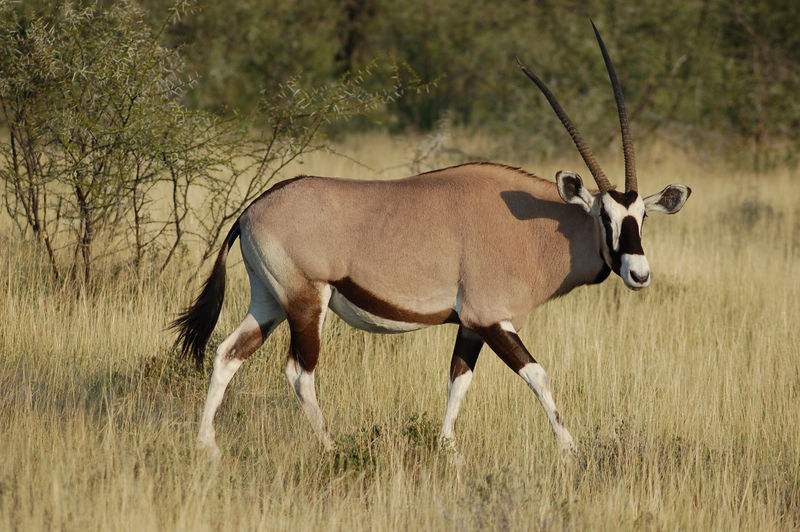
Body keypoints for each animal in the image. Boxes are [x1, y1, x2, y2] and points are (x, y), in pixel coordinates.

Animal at [173, 22, 688, 460]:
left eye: (641, 216)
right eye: (604, 215)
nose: (639, 273)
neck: (534, 228)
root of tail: (251, 209)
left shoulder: (471, 325)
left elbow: (458, 381)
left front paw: (448, 450)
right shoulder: (492, 318)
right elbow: (538, 375)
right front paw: (569, 449)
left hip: (269, 300)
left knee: (227, 354)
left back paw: (207, 446)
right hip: (305, 302)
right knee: (300, 374)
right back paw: (331, 446)